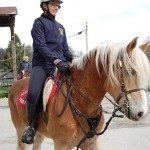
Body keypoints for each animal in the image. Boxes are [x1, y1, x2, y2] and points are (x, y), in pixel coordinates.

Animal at [8, 36, 150, 150]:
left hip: (39, 133)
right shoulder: (60, 144)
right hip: (21, 130)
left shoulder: (91, 143)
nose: (141, 112)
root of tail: (14, 85)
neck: (80, 102)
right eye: (130, 72)